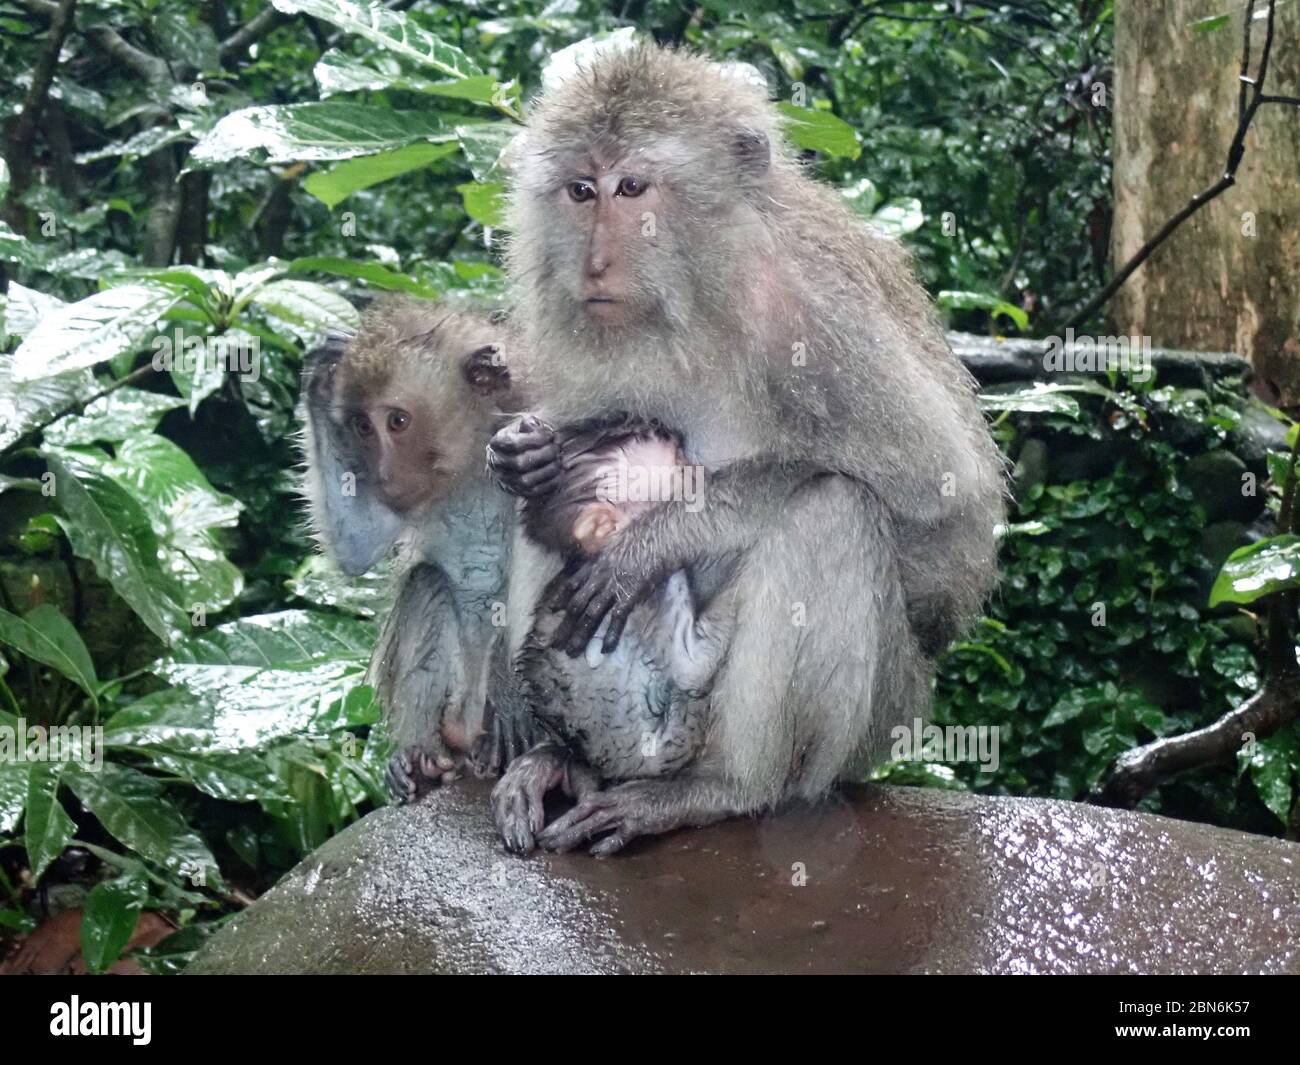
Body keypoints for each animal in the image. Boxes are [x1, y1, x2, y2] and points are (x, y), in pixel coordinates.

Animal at [300, 295, 538, 805]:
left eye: (397, 421)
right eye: (361, 427)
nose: (385, 475)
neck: (474, 459)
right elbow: (359, 546)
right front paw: (323, 368)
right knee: (426, 582)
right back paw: (421, 758)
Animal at [486, 42, 1005, 856]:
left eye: (632, 187)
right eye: (580, 190)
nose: (595, 264)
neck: (694, 299)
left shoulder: (816, 309)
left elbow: (942, 493)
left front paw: (661, 538)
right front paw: (524, 450)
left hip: (876, 722)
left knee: (834, 507)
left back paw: (728, 789)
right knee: (529, 512)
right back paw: (558, 756)